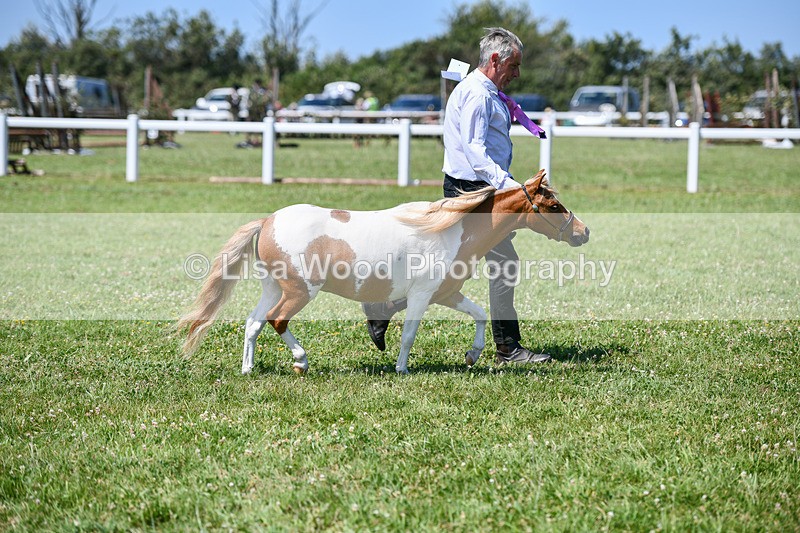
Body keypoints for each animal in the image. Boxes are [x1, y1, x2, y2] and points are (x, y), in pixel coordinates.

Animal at [177, 169, 589, 374]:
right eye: (553, 204)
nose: (583, 232)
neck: (451, 230)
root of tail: (267, 221)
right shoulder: (421, 297)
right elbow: (408, 335)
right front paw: (401, 368)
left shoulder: (447, 294)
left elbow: (480, 314)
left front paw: (472, 356)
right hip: (298, 291)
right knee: (278, 321)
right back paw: (301, 362)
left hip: (272, 288)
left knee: (253, 323)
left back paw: (248, 369)